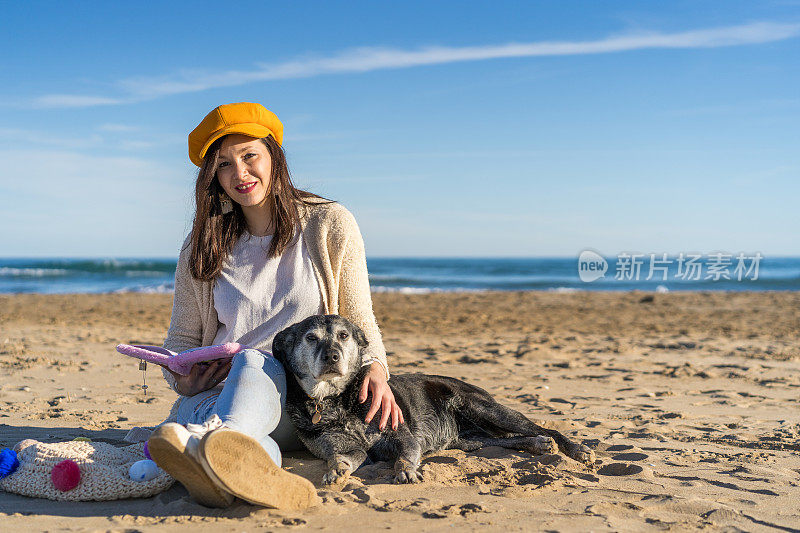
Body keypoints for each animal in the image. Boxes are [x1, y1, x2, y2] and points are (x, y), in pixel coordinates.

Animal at [272, 314, 596, 484]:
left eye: (343, 336)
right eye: (311, 338)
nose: (332, 356)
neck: (336, 400)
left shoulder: (404, 438)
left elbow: (404, 457)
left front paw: (405, 471)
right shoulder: (345, 448)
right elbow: (341, 458)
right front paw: (336, 471)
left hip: (484, 408)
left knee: (541, 428)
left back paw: (576, 449)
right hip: (471, 440)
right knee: (506, 440)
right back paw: (538, 445)